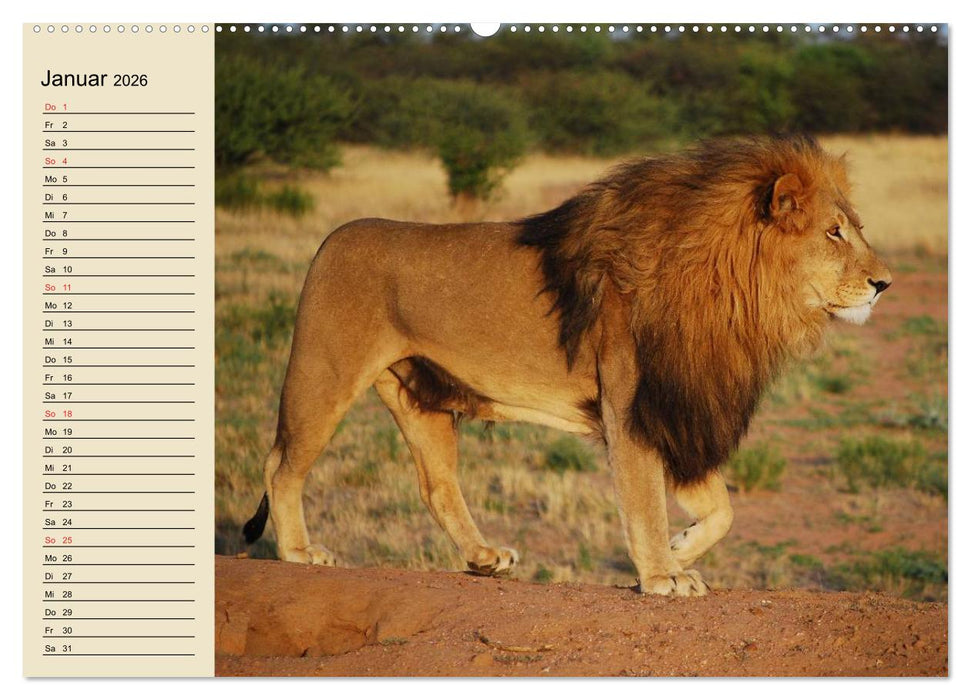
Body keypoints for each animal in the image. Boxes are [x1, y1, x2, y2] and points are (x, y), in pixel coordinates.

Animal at [242, 135, 892, 596]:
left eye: (855, 229)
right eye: (834, 233)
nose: (885, 283)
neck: (735, 293)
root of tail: (330, 238)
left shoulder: (675, 407)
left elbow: (723, 509)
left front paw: (679, 549)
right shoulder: (634, 406)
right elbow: (644, 500)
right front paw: (661, 575)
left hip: (418, 395)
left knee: (437, 486)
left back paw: (484, 559)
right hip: (323, 373)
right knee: (281, 464)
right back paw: (300, 552)